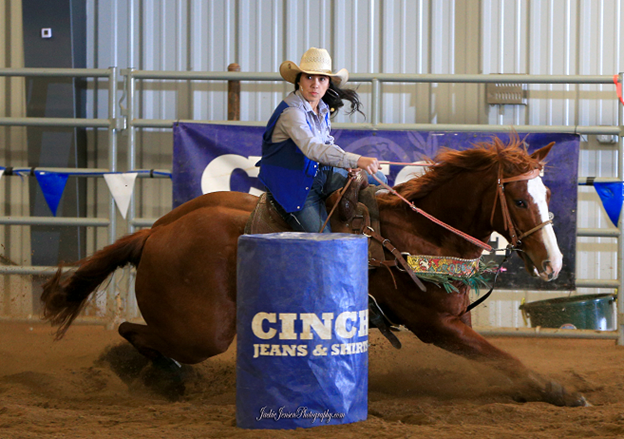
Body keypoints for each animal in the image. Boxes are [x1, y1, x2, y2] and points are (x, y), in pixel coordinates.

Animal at [41, 138, 588, 410]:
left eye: (545, 193)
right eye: (520, 199)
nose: (554, 264)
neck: (419, 235)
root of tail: (154, 234)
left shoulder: (458, 322)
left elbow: (499, 361)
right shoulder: (438, 327)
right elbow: (507, 358)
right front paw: (562, 391)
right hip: (203, 330)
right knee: (133, 330)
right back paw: (165, 378)